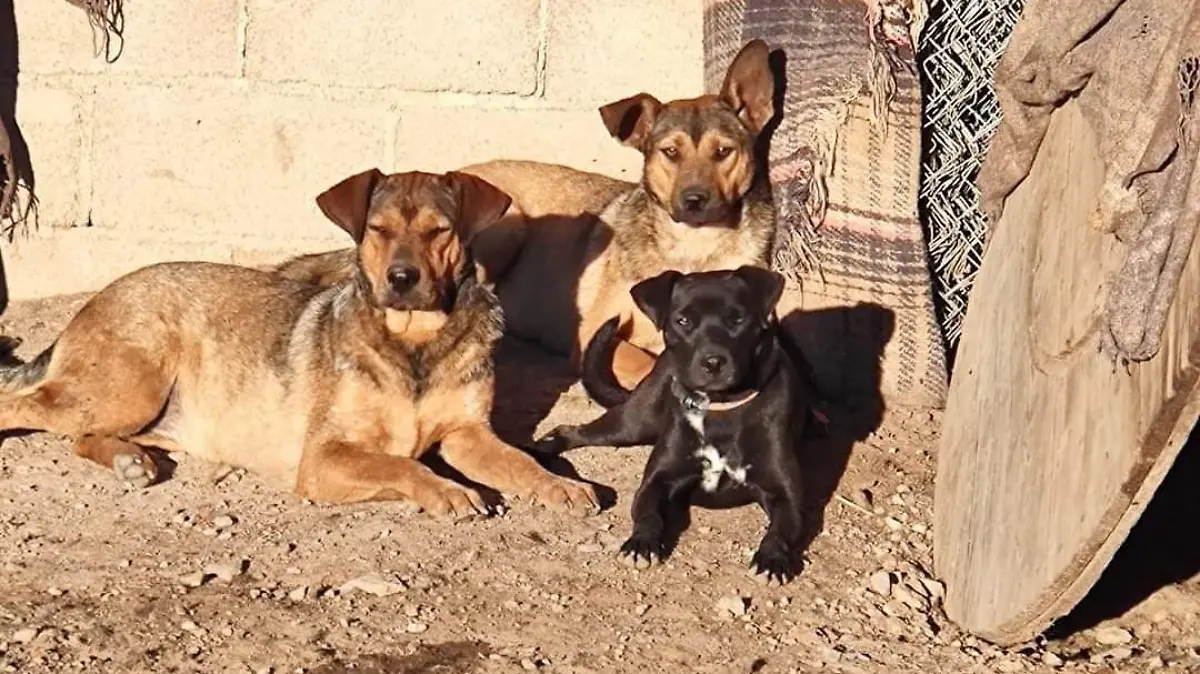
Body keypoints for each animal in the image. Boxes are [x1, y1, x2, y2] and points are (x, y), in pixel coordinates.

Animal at [0, 170, 600, 515]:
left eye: (439, 231)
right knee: (21, 406)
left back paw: (130, 460)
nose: (402, 279)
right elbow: (403, 466)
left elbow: (517, 461)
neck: (414, 343)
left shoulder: (467, 435)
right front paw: (450, 492)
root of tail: (99, 295)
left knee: (80, 435)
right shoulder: (323, 458)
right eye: (378, 229)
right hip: (129, 386)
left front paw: (557, 484)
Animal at [274, 38, 777, 388]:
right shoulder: (594, 337)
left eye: (724, 152)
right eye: (670, 152)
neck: (694, 247)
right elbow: (646, 359)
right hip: (509, 225)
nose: (694, 199)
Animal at [540, 265, 811, 580]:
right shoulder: (657, 481)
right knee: (572, 430)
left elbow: (780, 530)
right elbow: (649, 514)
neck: (719, 409)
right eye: (683, 321)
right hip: (633, 423)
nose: (713, 362)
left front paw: (771, 559)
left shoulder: (786, 495)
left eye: (737, 319)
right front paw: (641, 544)